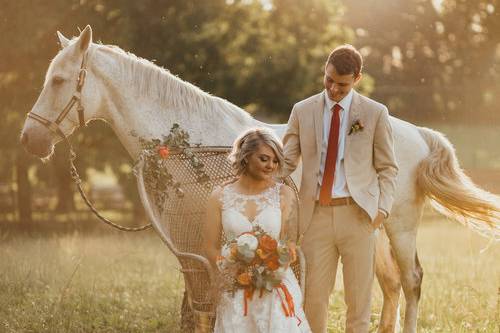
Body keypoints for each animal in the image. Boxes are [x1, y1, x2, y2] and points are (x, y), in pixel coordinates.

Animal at [20, 26, 500, 332]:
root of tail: (416, 132)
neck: (187, 144)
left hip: (399, 228)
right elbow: (195, 308)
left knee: (412, 280)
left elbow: (206, 306)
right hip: (376, 233)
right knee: (390, 285)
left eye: (59, 80)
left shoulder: (202, 246)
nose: (30, 139)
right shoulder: (191, 248)